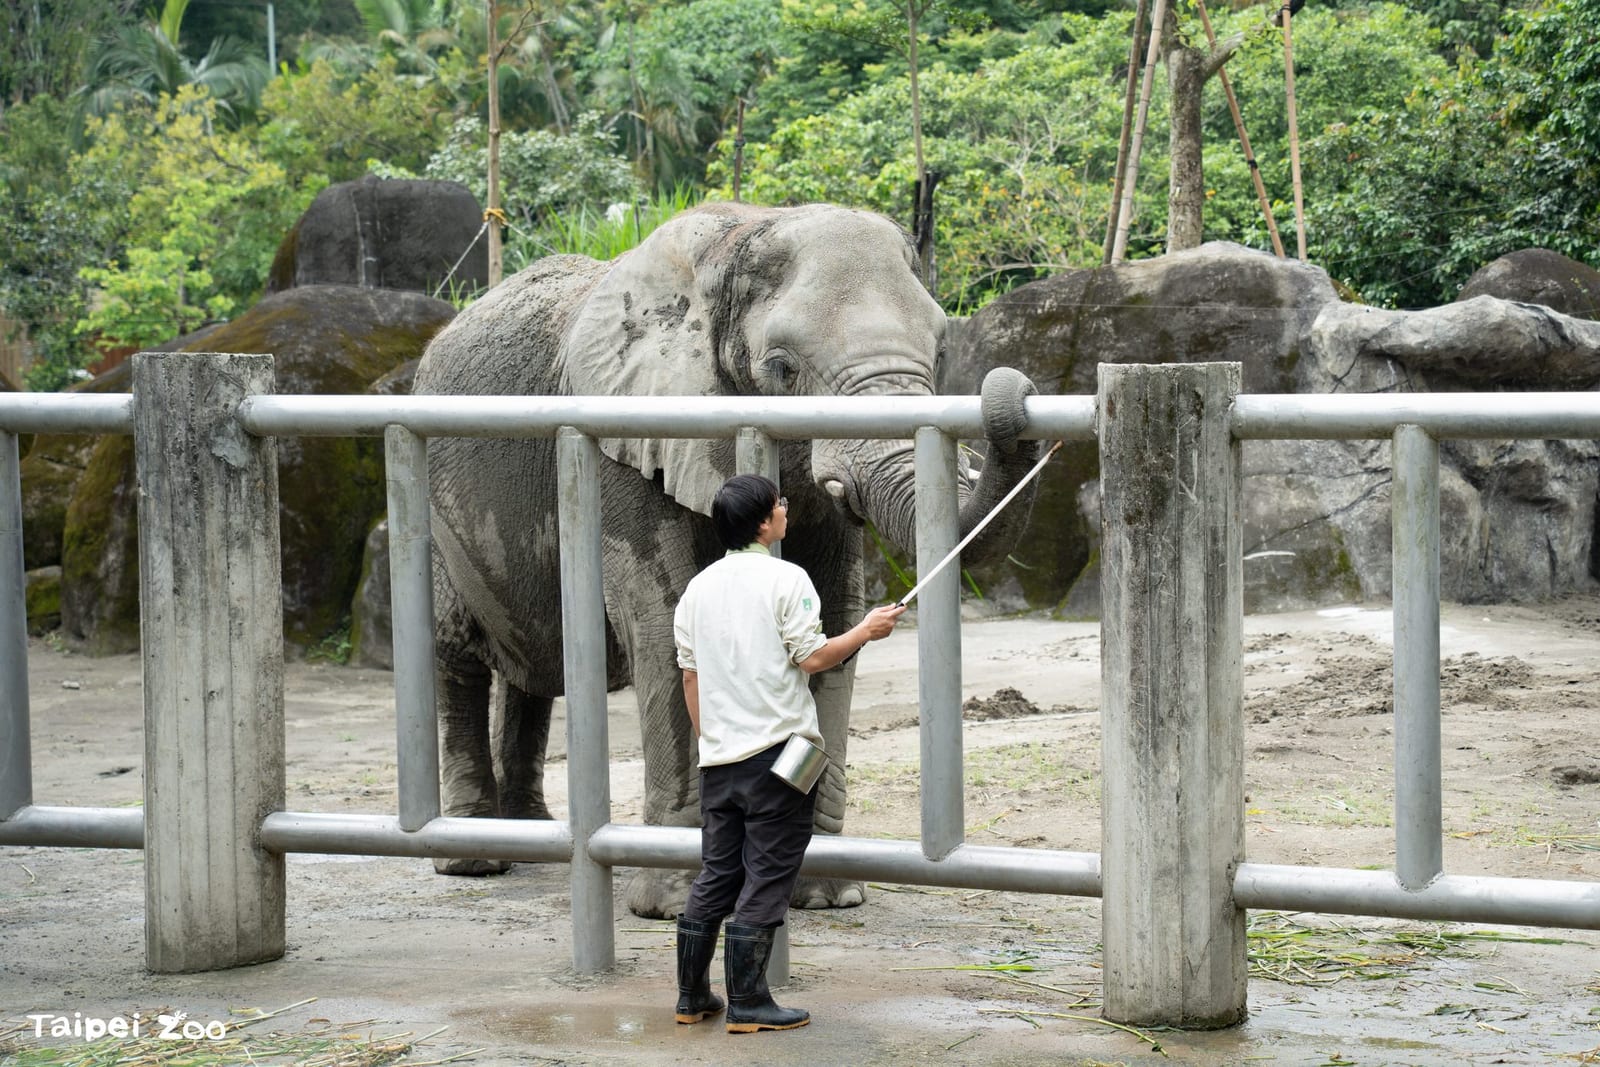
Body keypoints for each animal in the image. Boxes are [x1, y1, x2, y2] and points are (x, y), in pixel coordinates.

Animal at [412, 201, 1044, 919]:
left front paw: (824, 896)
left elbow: (828, 621)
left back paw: (531, 837)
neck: (734, 240)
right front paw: (670, 903)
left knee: (532, 668)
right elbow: (663, 619)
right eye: (782, 369)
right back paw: (472, 858)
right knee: (457, 652)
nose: (1012, 392)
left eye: (940, 351)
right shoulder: (630, 443)